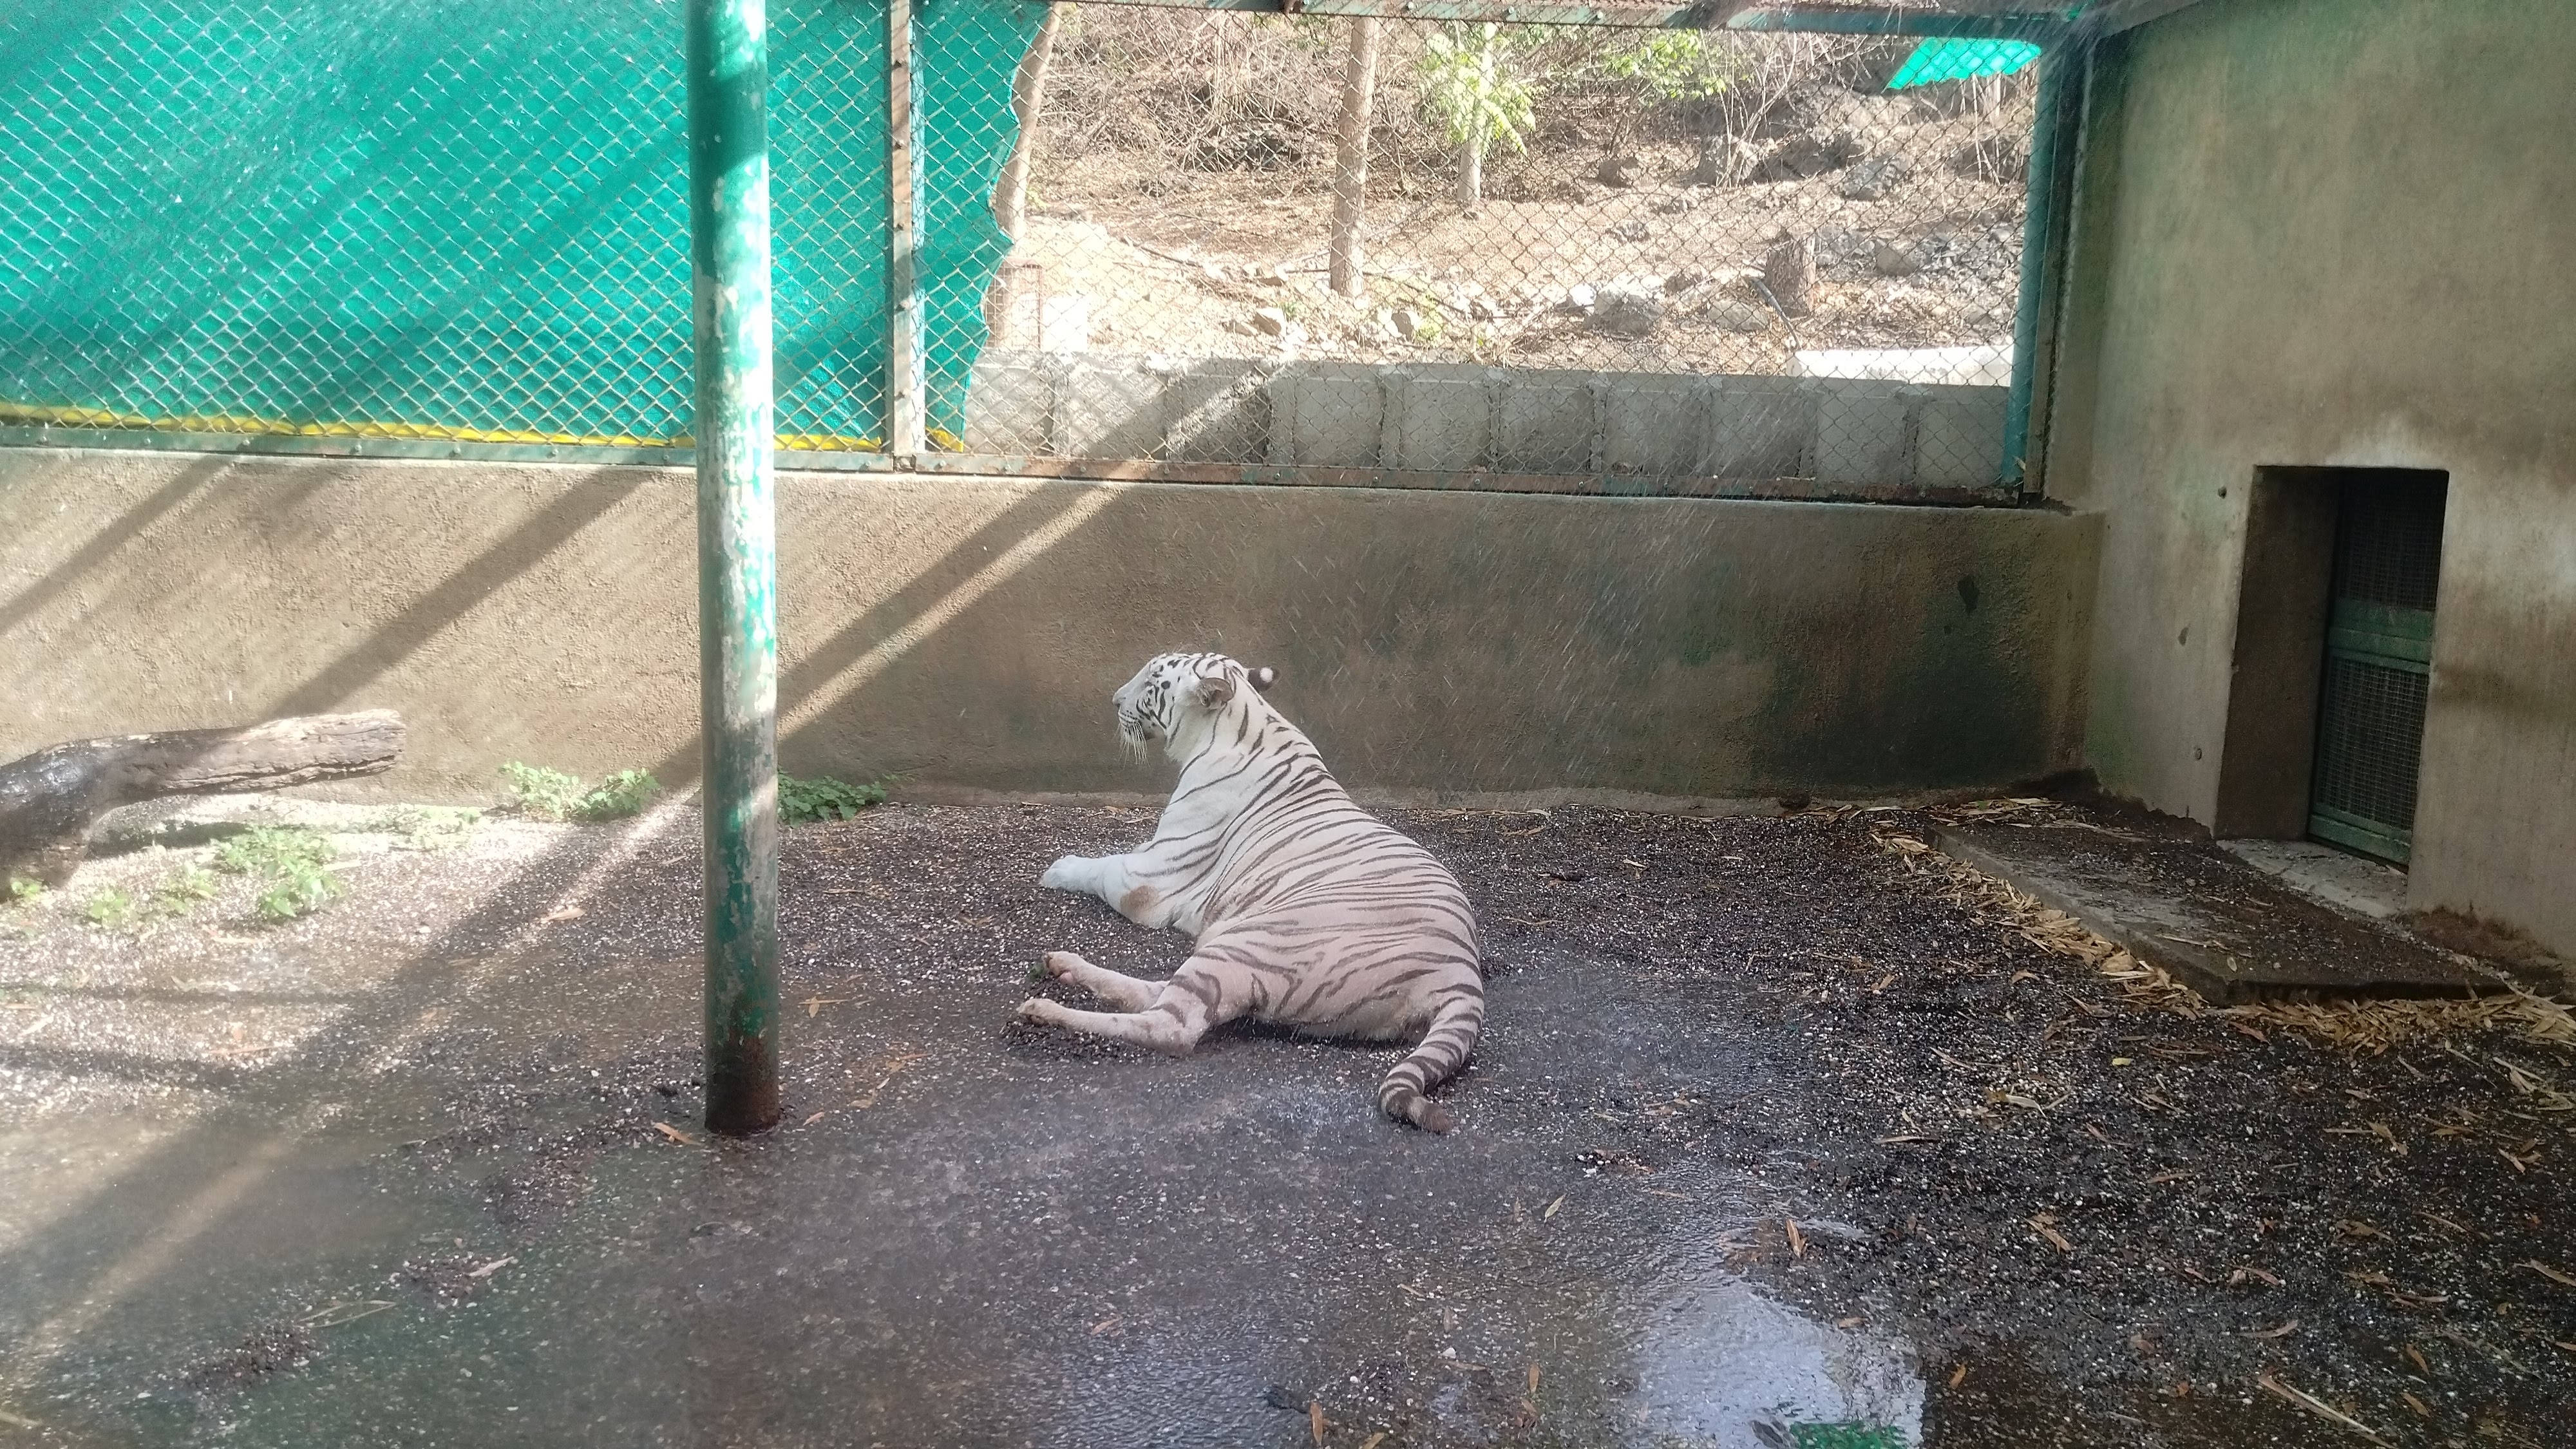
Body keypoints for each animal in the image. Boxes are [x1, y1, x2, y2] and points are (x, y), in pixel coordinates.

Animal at [1015, 652, 1484, 1129]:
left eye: (1151, 682)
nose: (1114, 701)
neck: (1245, 716)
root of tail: (1463, 975)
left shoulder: (1149, 880)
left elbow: (1101, 868)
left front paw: (1059, 868)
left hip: (1246, 945)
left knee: (1170, 1027)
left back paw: (1044, 1011)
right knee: (1157, 995)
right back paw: (1065, 966)